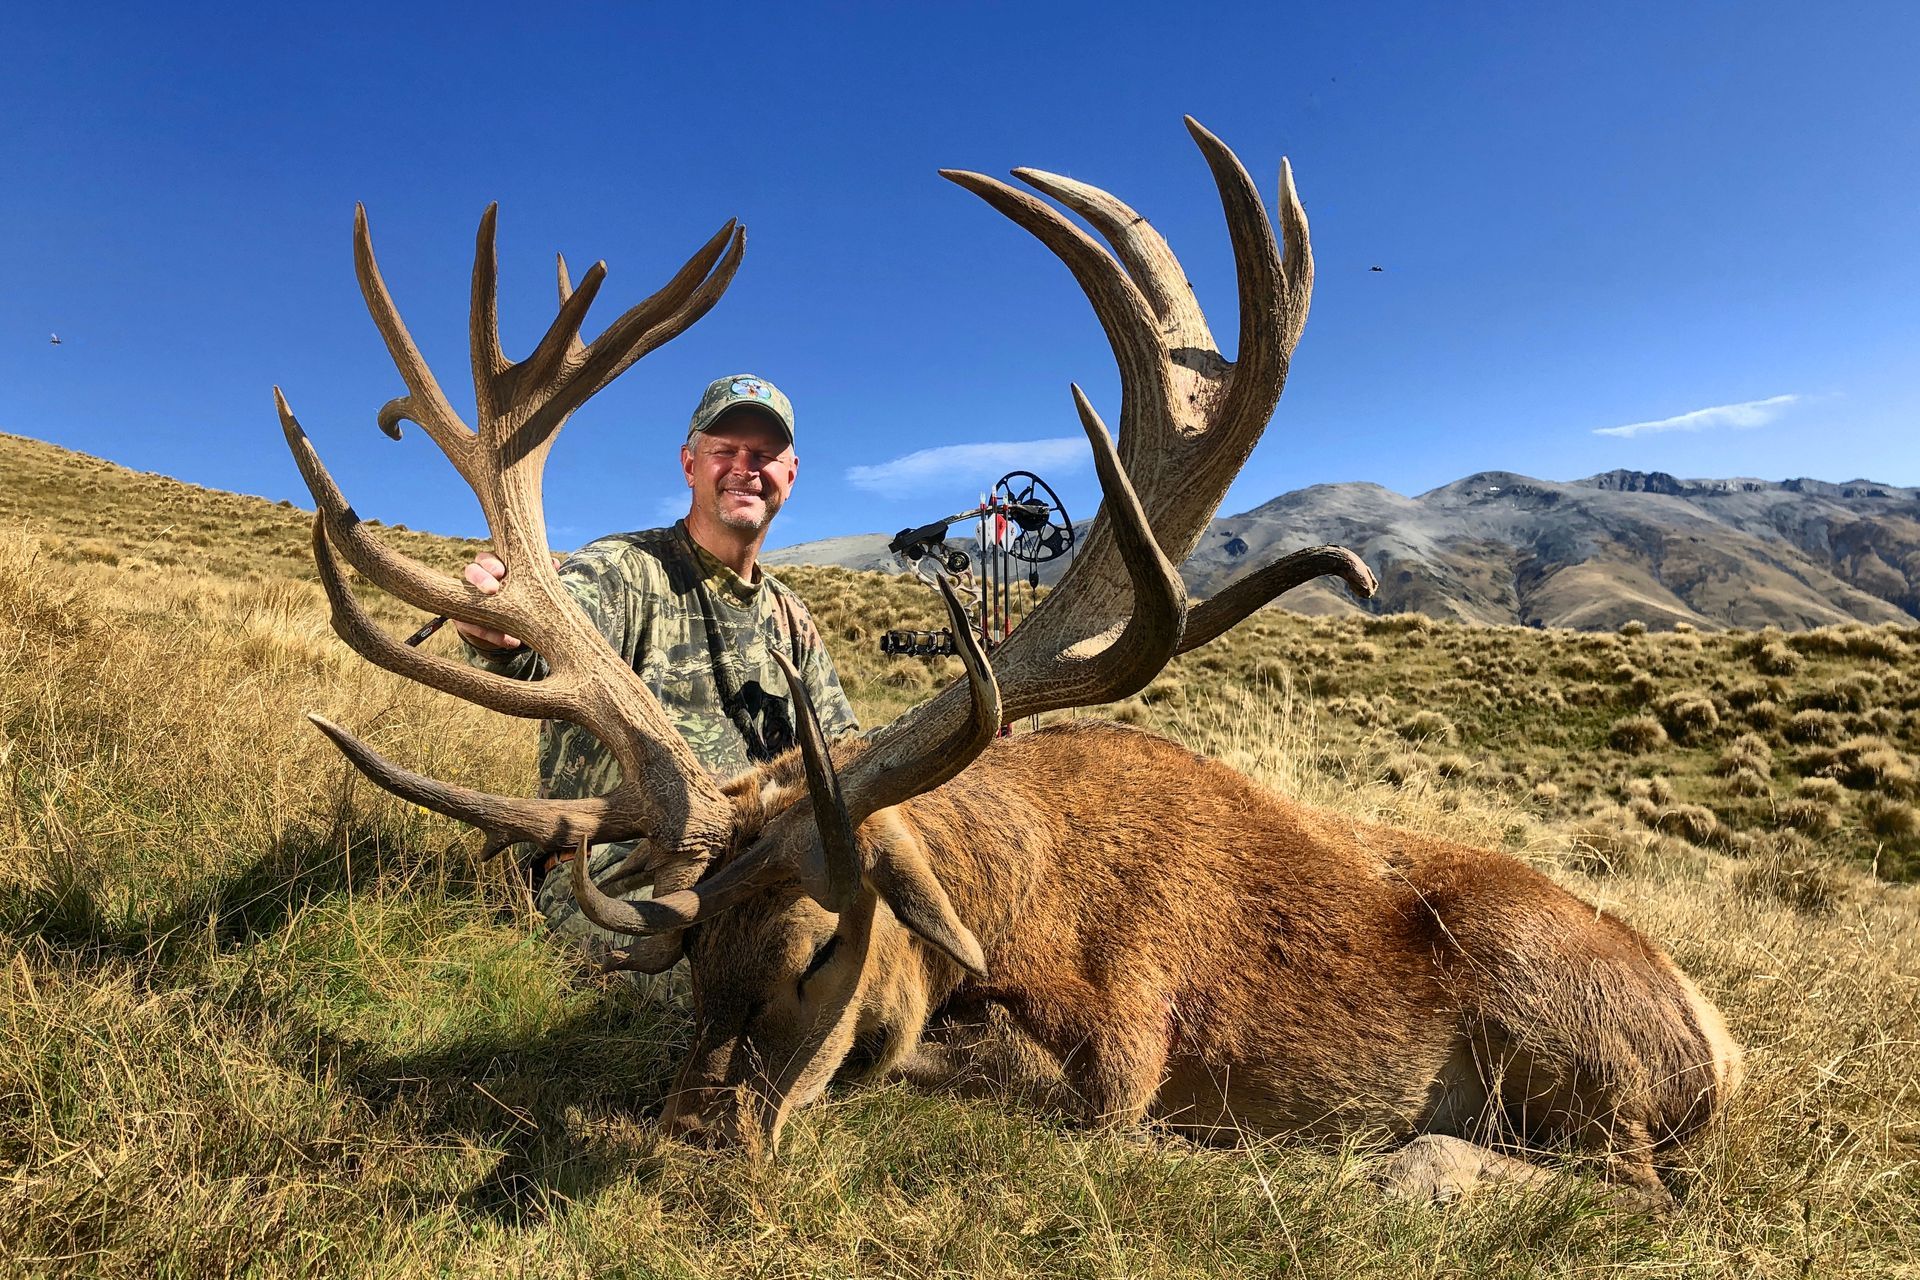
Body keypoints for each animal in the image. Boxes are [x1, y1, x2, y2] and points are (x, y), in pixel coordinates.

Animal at [275, 117, 1741, 1205]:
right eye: (694, 962)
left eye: (823, 948)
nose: (693, 1134)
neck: (1016, 895)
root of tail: (1718, 1045)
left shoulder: (1126, 1053)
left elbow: (988, 1080)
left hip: (1562, 1029)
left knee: (1631, 1188)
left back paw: (1408, 1165)